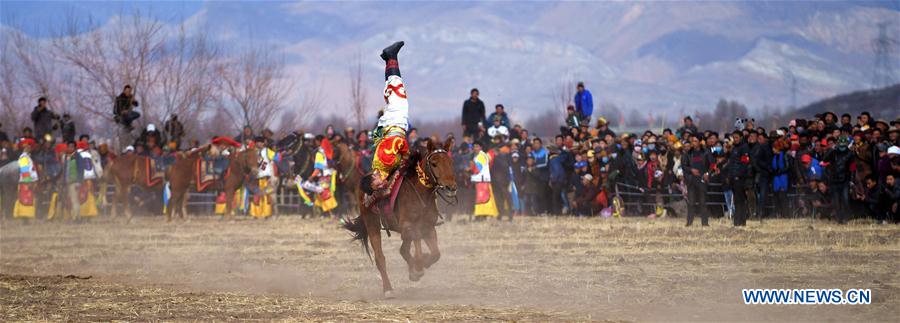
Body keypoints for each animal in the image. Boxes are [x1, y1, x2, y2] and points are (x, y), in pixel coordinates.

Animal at [342, 140, 458, 298]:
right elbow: (416, 246)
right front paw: (418, 267)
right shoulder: (409, 226)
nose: (451, 187)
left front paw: (419, 266)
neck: (420, 193)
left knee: (403, 249)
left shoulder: (428, 228)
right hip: (372, 223)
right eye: (434, 163)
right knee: (380, 258)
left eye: (451, 162)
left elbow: (435, 254)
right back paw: (388, 289)